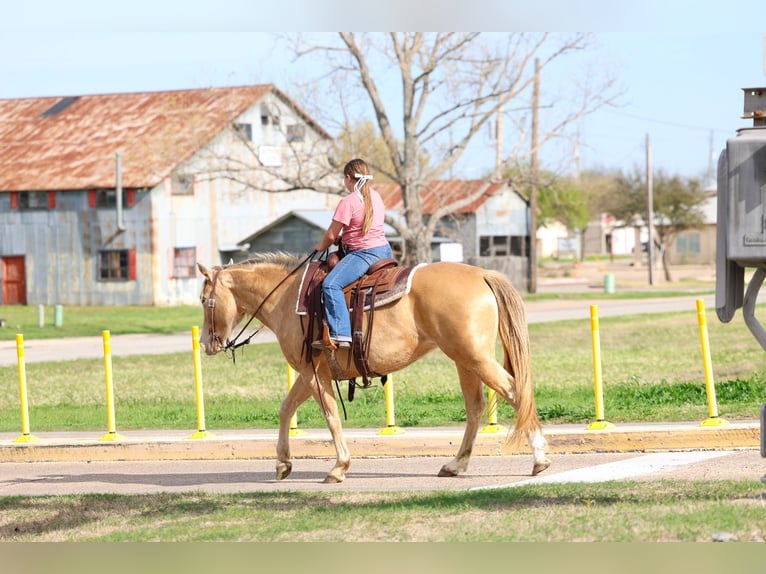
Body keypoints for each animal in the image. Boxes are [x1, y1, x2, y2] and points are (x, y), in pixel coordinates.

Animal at [197, 253, 550, 484]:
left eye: (203, 300)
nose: (204, 343)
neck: (288, 298)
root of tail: (481, 274)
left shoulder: (314, 373)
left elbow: (330, 415)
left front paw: (339, 466)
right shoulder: (311, 373)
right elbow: (286, 409)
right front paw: (283, 463)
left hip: (473, 357)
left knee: (515, 391)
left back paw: (540, 459)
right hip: (464, 360)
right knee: (476, 407)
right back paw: (456, 465)